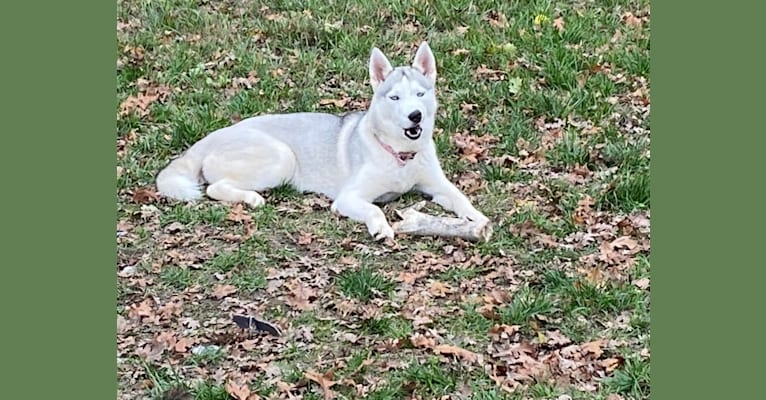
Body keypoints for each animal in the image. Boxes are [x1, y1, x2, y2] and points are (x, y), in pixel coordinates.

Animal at [158, 42, 492, 239]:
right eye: (395, 97)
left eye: (420, 94)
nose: (415, 116)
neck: (400, 156)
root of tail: (211, 136)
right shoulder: (349, 198)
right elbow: (375, 209)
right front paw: (381, 228)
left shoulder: (437, 186)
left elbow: (461, 199)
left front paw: (477, 220)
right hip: (282, 158)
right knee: (213, 188)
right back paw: (251, 198)